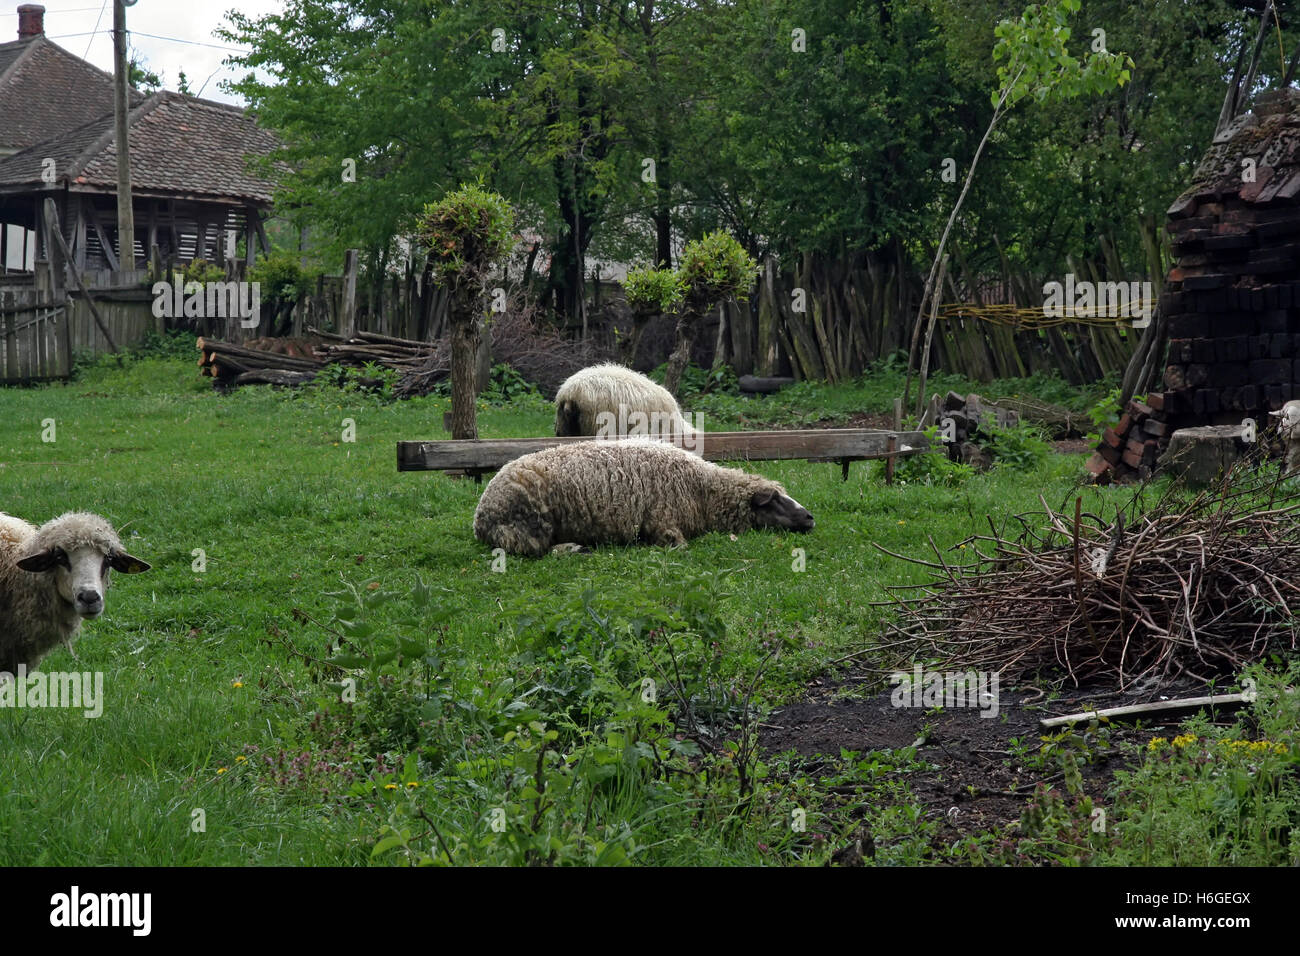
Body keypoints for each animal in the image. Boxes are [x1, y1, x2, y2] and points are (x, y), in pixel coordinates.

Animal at [473, 438, 814, 557]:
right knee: (537, 550)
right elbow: (678, 545)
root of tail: (479, 519)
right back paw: (574, 548)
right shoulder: (663, 521)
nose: (810, 517)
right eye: (775, 500)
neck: (702, 490)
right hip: (528, 525)